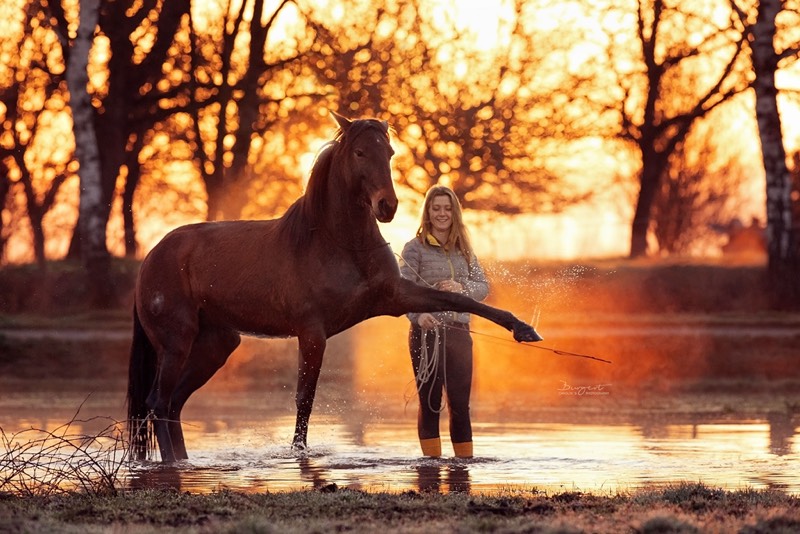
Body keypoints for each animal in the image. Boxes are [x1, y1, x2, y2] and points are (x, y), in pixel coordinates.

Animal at [126, 114, 544, 464]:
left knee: (173, 403)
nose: (387, 206)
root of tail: (153, 257)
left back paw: (184, 462)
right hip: (177, 342)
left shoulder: (396, 296)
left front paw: (524, 329)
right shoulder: (312, 333)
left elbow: (456, 297)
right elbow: (304, 398)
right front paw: (299, 455)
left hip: (215, 345)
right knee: (159, 401)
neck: (337, 243)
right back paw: (174, 464)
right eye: (359, 152)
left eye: (389, 152)